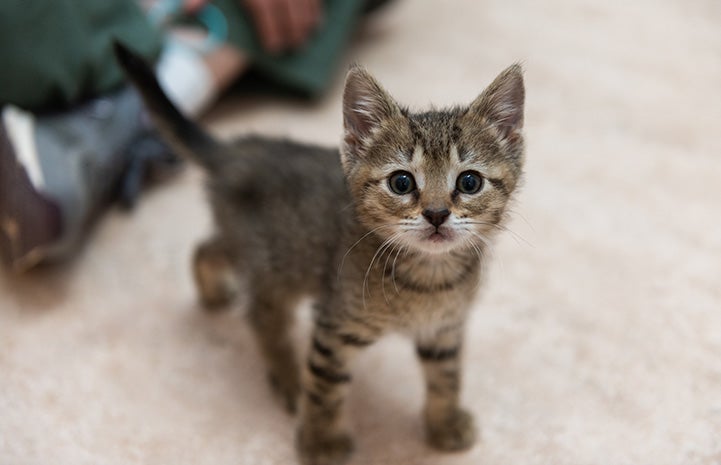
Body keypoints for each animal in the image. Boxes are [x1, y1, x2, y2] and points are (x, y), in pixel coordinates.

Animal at [114, 43, 524, 464]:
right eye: (402, 182)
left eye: (469, 182)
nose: (438, 213)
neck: (429, 276)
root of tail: (236, 151)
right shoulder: (336, 325)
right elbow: (325, 389)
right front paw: (320, 440)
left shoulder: (444, 329)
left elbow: (446, 377)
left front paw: (444, 423)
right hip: (271, 263)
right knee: (254, 307)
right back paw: (284, 371)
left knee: (209, 248)